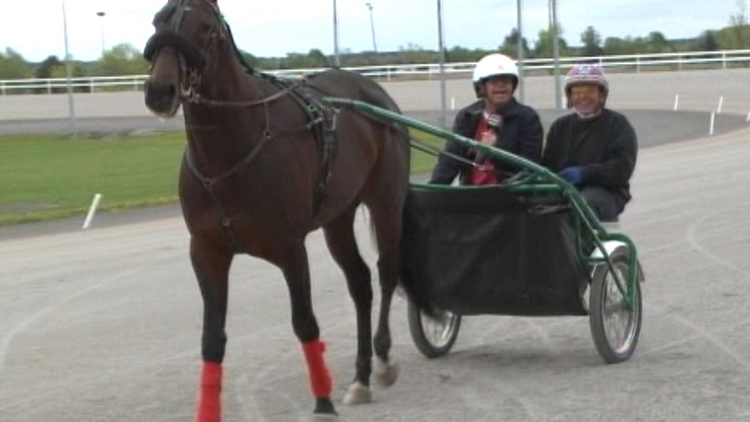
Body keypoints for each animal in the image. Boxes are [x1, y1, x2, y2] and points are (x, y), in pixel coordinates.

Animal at [141, 1, 412, 420]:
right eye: (158, 20)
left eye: (205, 28)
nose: (160, 90)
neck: (231, 151)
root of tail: (374, 91)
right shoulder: (206, 251)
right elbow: (212, 338)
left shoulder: (290, 247)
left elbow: (305, 323)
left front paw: (322, 401)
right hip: (338, 217)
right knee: (360, 282)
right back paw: (361, 377)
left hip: (386, 198)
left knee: (386, 272)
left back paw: (383, 361)